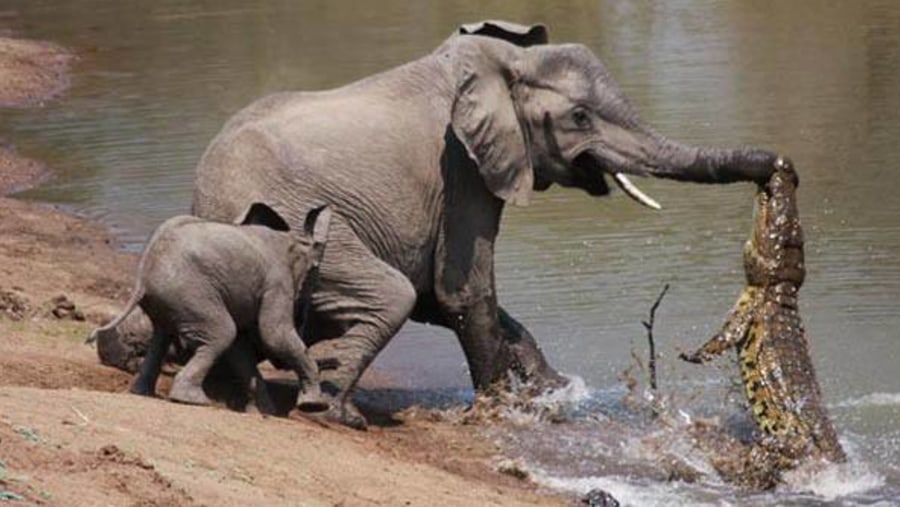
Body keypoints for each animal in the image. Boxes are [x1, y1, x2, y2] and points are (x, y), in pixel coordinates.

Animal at [86, 203, 332, 416]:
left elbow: (241, 348)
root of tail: (143, 274)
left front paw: (264, 413)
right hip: (190, 292)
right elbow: (273, 335)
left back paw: (143, 393)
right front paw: (314, 406)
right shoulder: (277, 283)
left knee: (163, 336)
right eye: (314, 270)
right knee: (221, 333)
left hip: (170, 298)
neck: (292, 239)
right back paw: (192, 400)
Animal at [192, 20, 780, 428]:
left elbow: (443, 297)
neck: (503, 62)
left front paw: (554, 391)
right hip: (297, 227)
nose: (778, 168)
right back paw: (338, 413)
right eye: (580, 118)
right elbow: (461, 291)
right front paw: (502, 409)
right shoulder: (462, 168)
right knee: (390, 295)